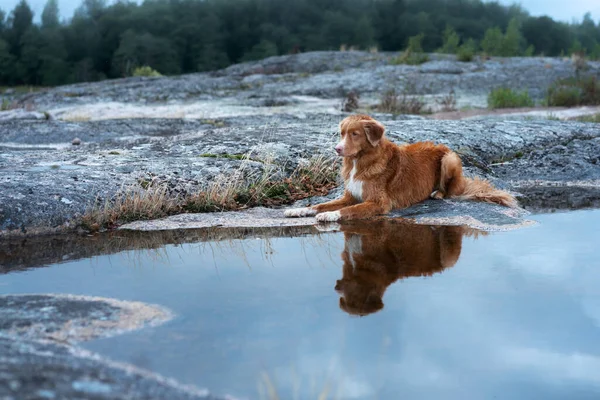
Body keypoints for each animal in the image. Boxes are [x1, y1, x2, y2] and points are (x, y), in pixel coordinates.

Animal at [284, 114, 516, 223]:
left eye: (355, 134)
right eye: (341, 133)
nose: (337, 149)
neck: (360, 162)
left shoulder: (378, 202)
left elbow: (347, 210)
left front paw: (329, 216)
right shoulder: (349, 196)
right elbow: (320, 204)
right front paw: (299, 210)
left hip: (449, 158)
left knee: (451, 190)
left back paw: (438, 194)